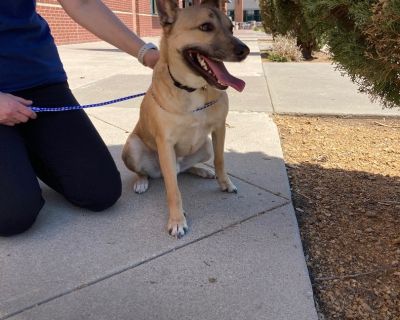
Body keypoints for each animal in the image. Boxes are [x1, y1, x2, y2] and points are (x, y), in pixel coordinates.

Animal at [122, 0, 250, 238]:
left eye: (231, 28)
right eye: (206, 27)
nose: (244, 50)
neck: (193, 89)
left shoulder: (219, 129)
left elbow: (220, 160)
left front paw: (224, 182)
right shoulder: (165, 143)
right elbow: (173, 190)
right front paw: (177, 220)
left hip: (205, 145)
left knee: (184, 169)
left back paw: (202, 170)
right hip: (133, 147)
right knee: (150, 173)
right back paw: (141, 182)